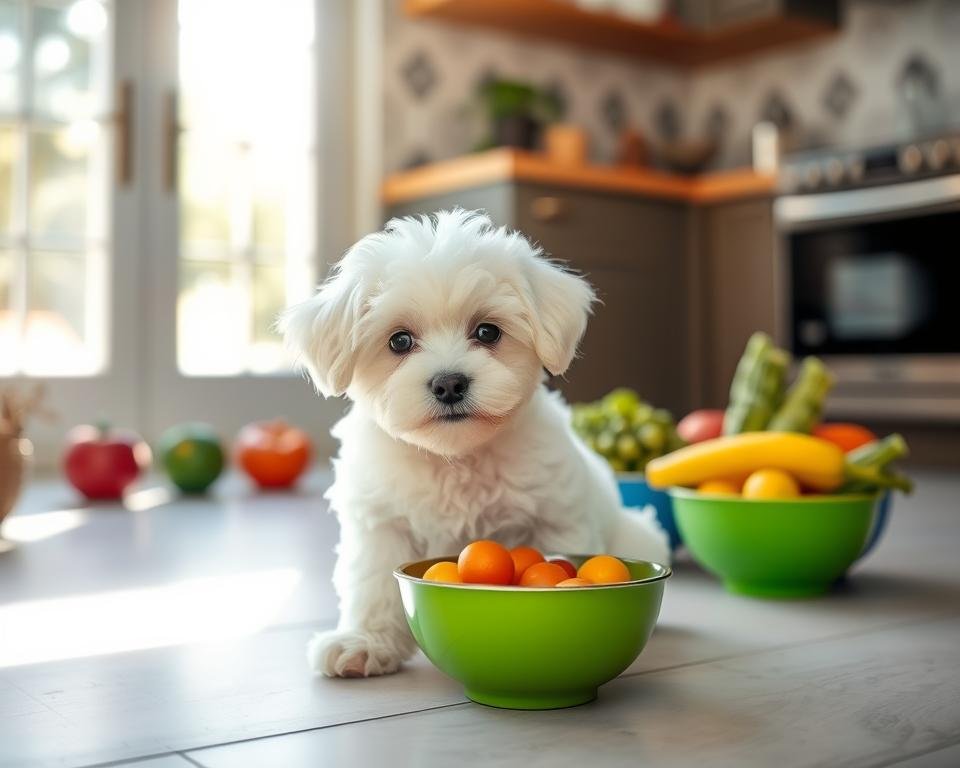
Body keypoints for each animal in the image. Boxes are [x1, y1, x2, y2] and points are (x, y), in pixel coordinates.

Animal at [284, 207, 668, 676]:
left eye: (487, 333)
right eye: (399, 340)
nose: (449, 383)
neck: (455, 458)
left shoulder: (557, 516)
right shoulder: (380, 522)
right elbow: (372, 584)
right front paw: (364, 642)